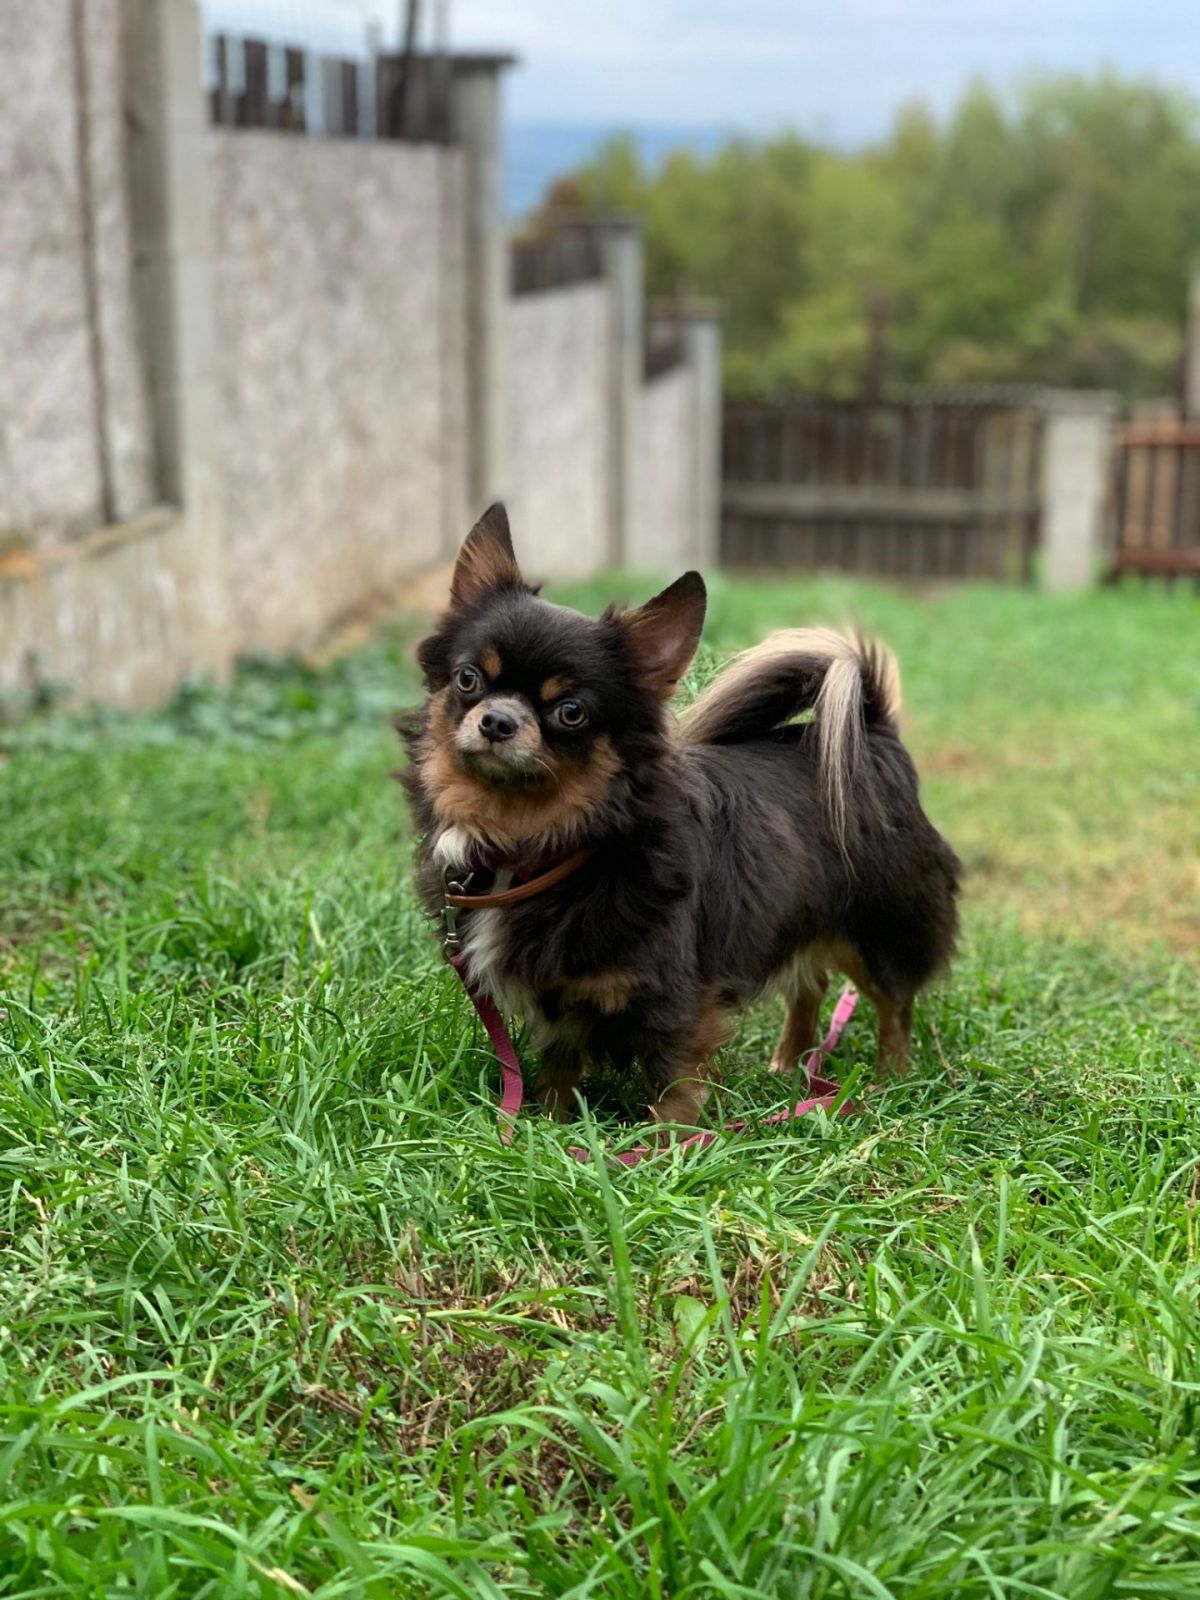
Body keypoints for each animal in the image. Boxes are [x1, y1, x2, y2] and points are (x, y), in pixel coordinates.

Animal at [399, 503, 961, 1127]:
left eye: (571, 712)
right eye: (467, 678)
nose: (496, 720)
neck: (534, 840)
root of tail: (875, 731)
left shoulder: (674, 1005)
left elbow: (673, 1091)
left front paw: (666, 1146)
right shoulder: (562, 1003)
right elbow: (559, 1070)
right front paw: (546, 1126)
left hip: (877, 929)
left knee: (894, 1004)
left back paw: (889, 1081)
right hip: (800, 915)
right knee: (808, 983)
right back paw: (789, 1067)